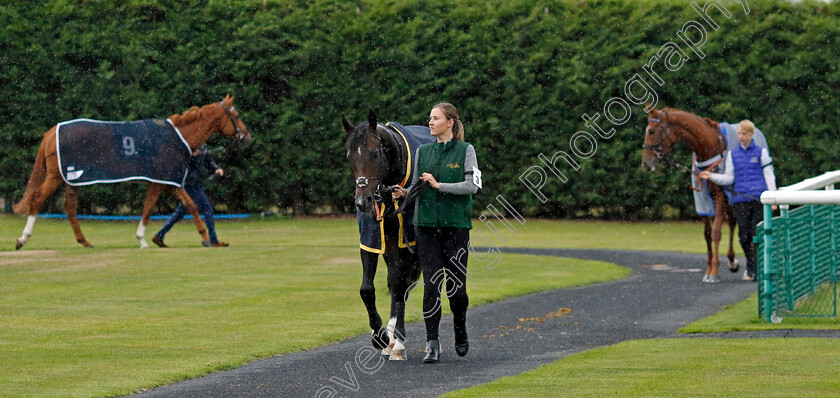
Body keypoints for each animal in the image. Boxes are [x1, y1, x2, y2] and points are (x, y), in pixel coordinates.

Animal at [13, 95, 251, 249]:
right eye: (236, 115)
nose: (247, 137)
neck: (179, 135)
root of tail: (53, 130)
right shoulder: (168, 180)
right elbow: (187, 205)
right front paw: (204, 238)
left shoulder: (161, 182)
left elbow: (152, 207)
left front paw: (144, 239)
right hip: (56, 177)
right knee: (37, 199)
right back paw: (22, 239)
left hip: (73, 180)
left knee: (70, 207)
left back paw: (85, 242)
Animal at [342, 109, 434, 360]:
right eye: (349, 157)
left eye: (374, 154)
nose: (362, 201)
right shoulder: (373, 239)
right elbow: (368, 289)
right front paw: (380, 335)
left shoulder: (407, 240)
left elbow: (401, 286)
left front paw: (397, 339)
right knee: (395, 282)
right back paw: (390, 340)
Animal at [640, 108, 740, 282]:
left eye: (651, 131)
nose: (645, 163)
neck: (709, 147)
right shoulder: (702, 199)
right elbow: (707, 234)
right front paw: (709, 269)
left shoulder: (720, 196)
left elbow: (716, 233)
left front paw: (714, 271)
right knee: (733, 222)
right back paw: (732, 260)